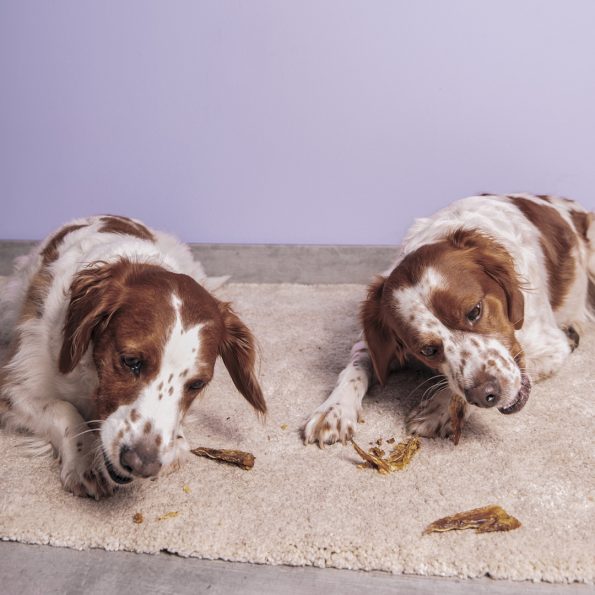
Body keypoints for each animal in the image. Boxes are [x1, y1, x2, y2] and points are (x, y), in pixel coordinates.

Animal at [0, 217, 266, 496]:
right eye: (131, 362)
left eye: (196, 384)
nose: (142, 464)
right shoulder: (15, 385)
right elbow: (64, 409)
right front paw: (84, 459)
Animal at [304, 193, 592, 444]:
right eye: (428, 350)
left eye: (475, 311)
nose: (485, 395)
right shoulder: (372, 341)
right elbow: (356, 365)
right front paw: (334, 409)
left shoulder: (550, 345)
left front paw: (439, 407)